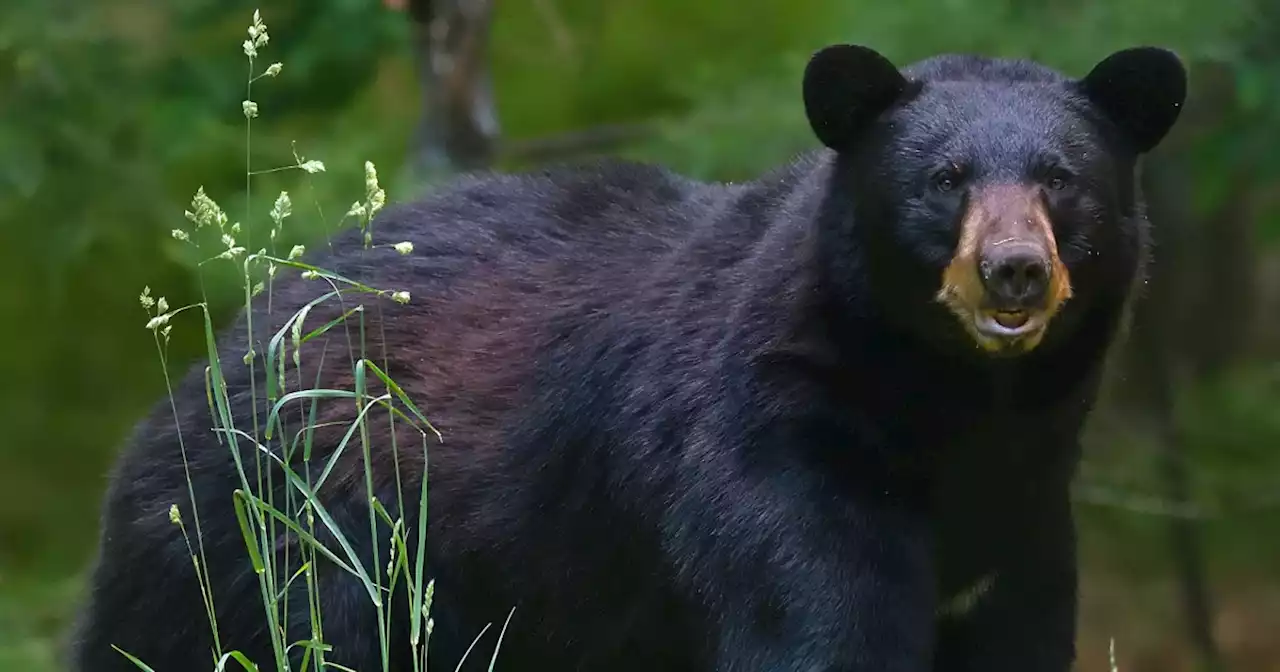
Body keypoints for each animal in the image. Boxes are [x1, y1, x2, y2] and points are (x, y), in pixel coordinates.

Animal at [70, 43, 1182, 670]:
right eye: (944, 179)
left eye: (1061, 179)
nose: (1012, 272)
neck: (953, 410)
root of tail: (219, 351)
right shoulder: (776, 459)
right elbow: (820, 628)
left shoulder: (1023, 516)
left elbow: (1018, 633)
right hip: (293, 535)